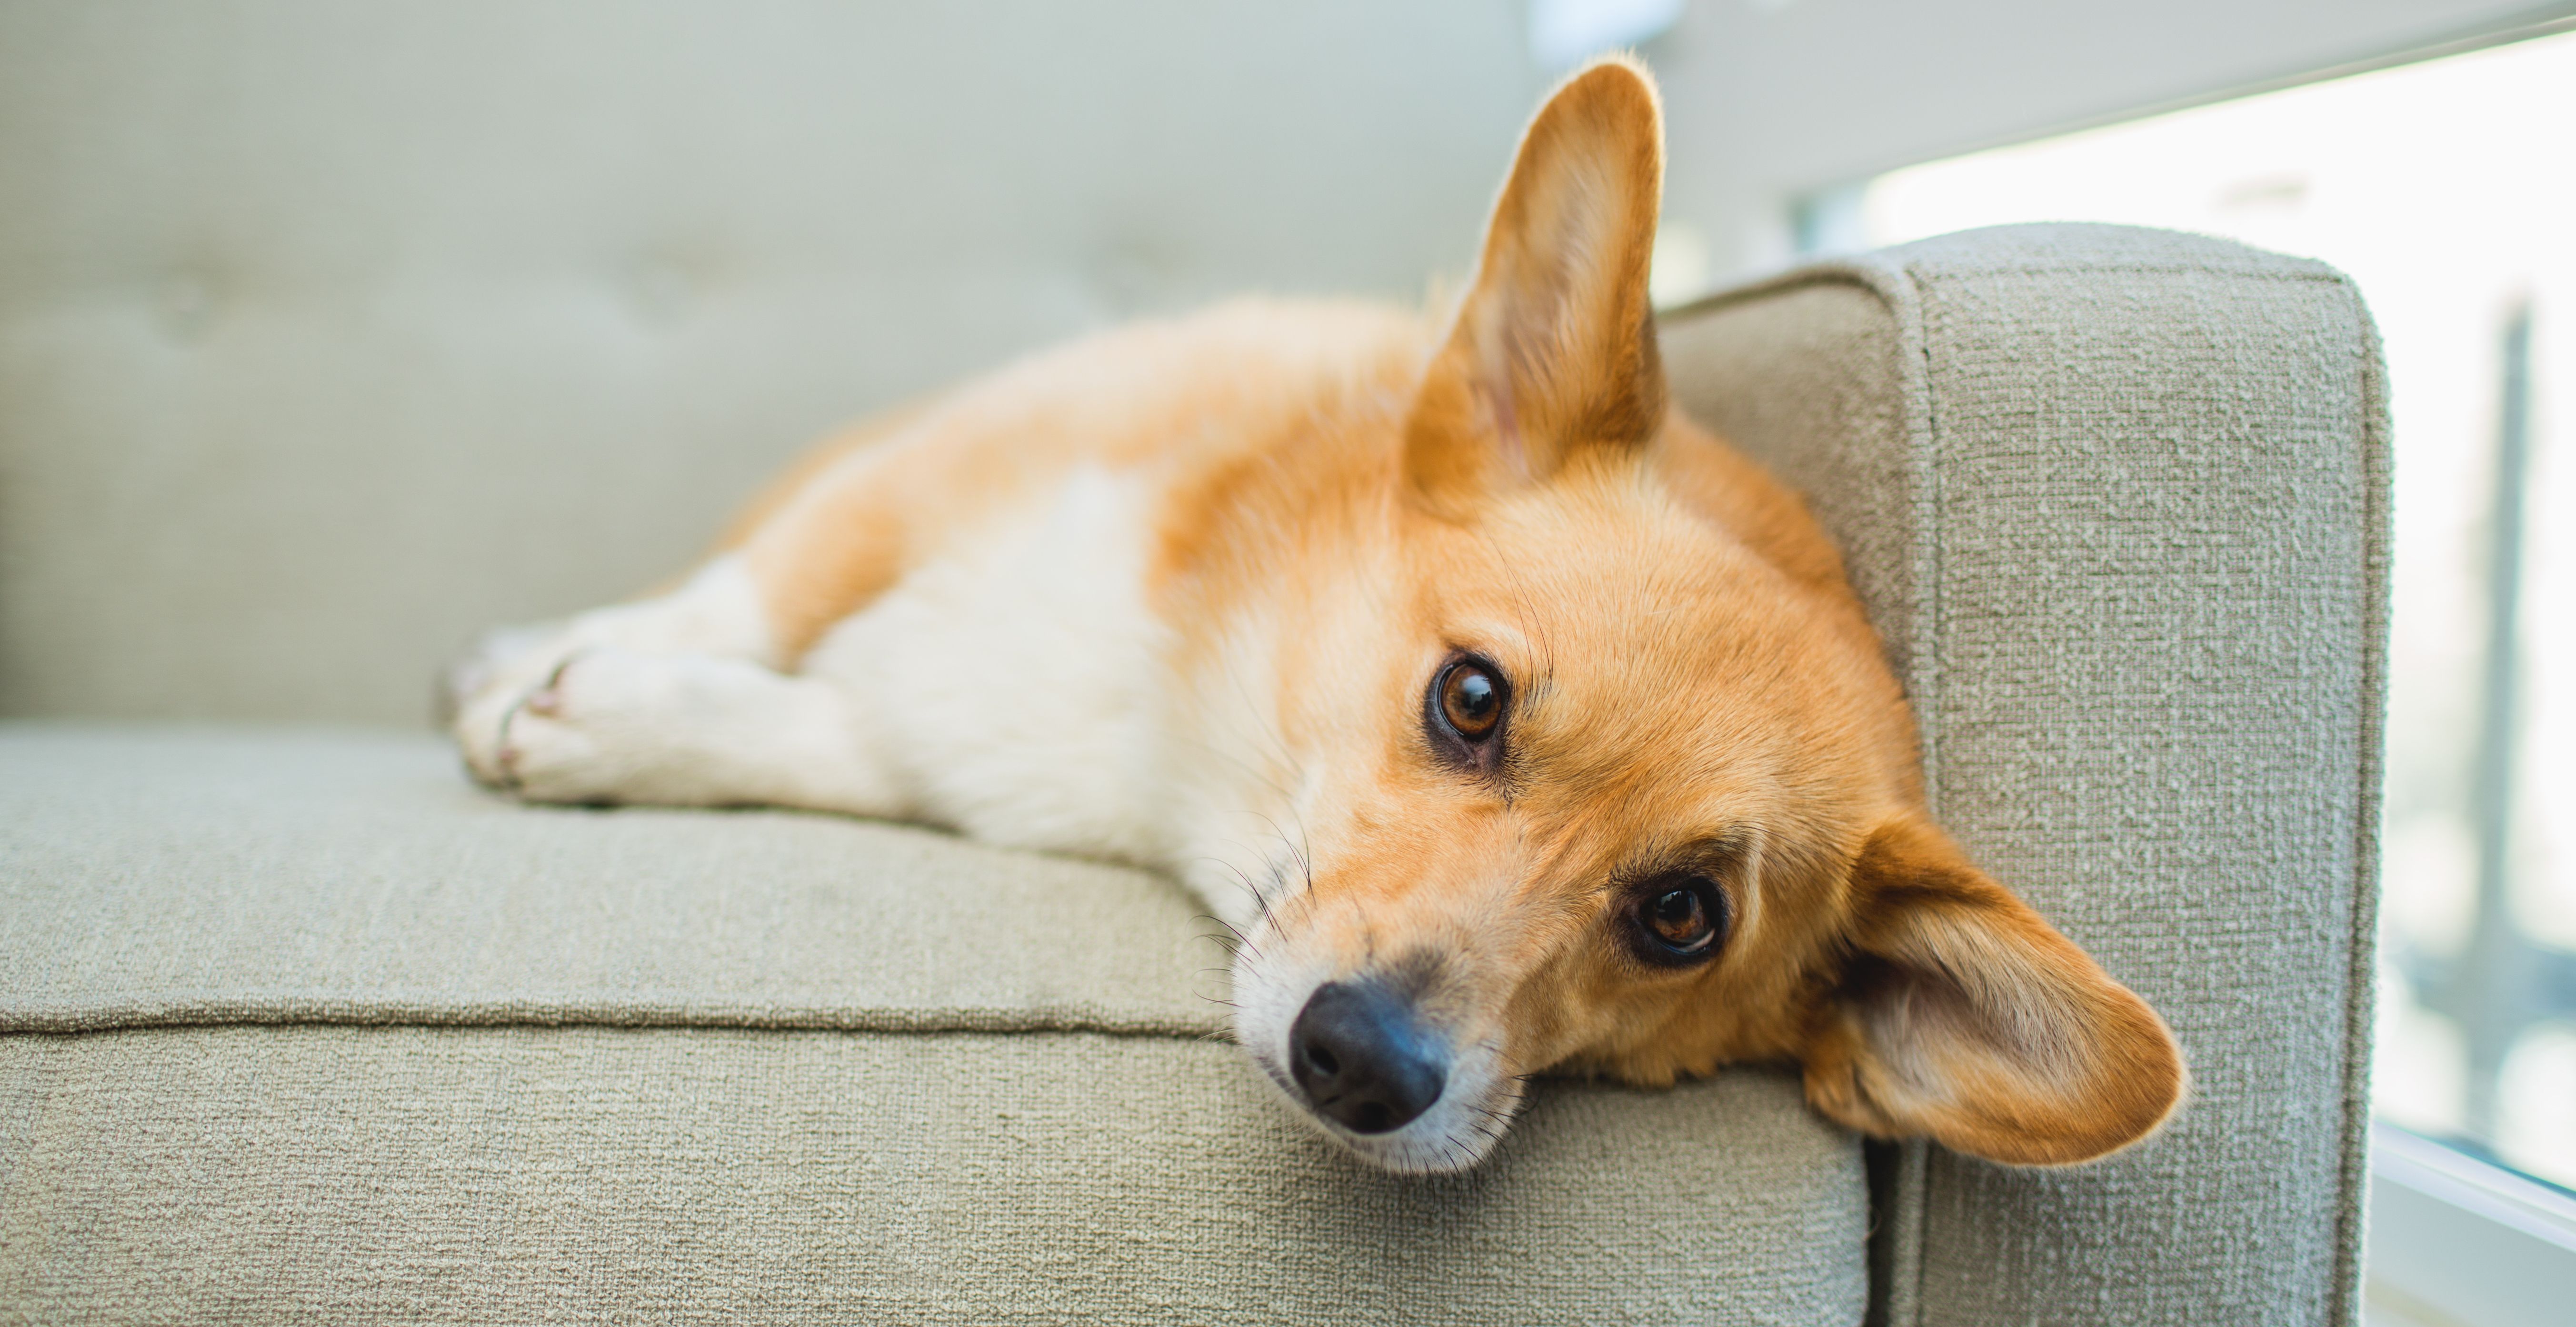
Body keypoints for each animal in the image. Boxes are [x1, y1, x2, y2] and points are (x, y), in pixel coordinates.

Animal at [443, 57, 2174, 1175]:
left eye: (1682, 916)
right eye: (1470, 698)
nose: (1362, 1068)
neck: (1174, 697)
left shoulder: (948, 746)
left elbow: (817, 729)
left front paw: (621, 721)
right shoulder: (935, 467)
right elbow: (743, 598)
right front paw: (560, 679)